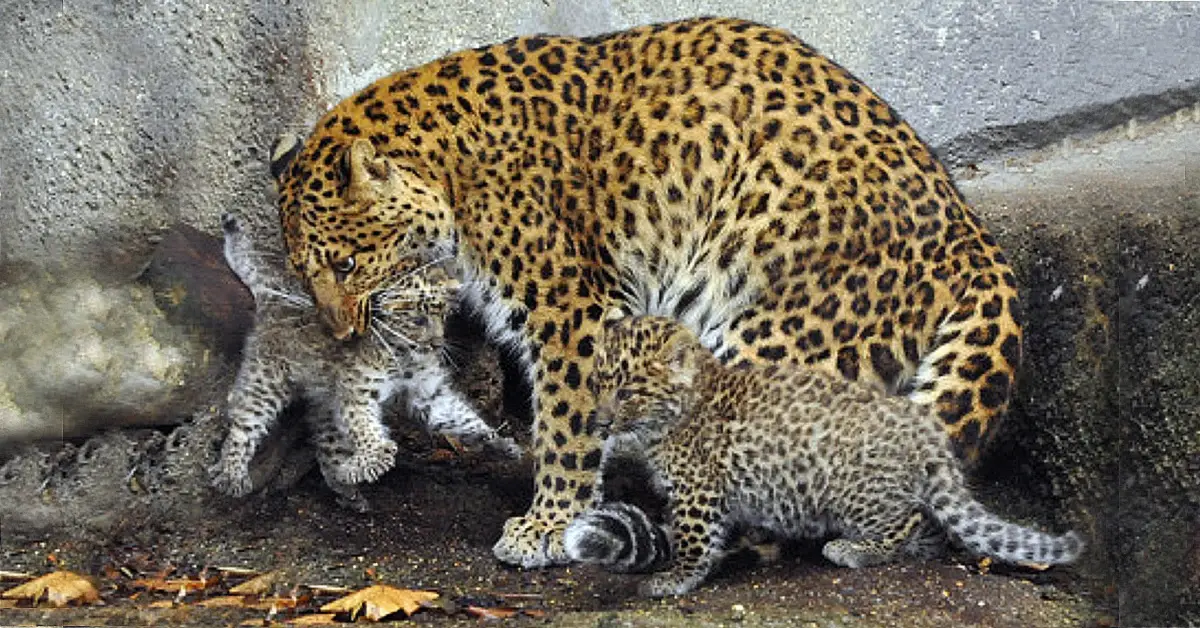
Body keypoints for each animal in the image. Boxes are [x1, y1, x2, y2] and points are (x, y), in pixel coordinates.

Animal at [274, 15, 1022, 569]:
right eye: (306, 273)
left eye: (346, 262)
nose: (340, 332)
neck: (448, 172)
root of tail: (972, 236)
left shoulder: (569, 309)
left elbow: (566, 422)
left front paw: (548, 524)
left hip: (781, 329)